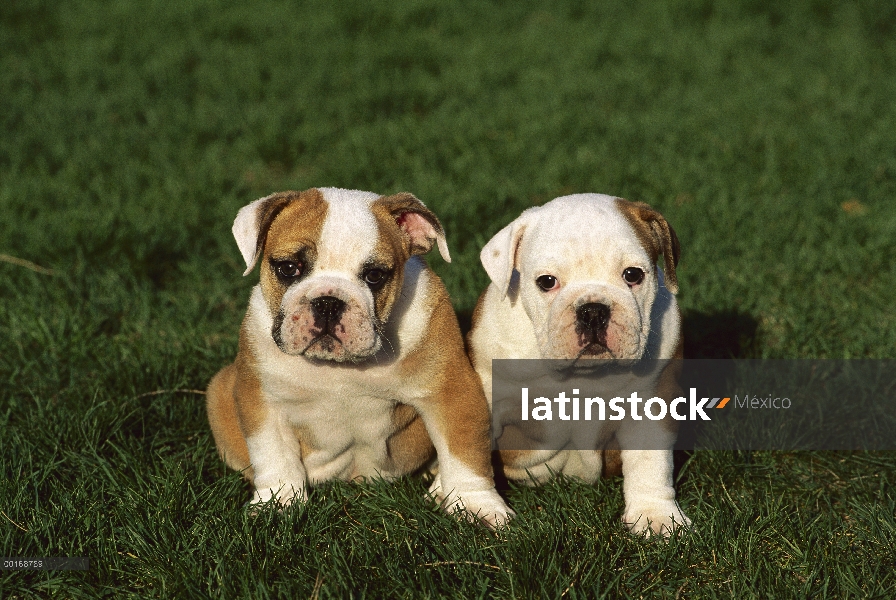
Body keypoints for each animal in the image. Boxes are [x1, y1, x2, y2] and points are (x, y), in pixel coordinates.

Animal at [205, 186, 512, 524]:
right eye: (288, 268)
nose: (328, 302)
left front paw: (476, 505)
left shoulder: (451, 392)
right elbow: (274, 454)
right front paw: (278, 501)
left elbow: (464, 453)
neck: (339, 368)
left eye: (375, 276)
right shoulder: (263, 401)